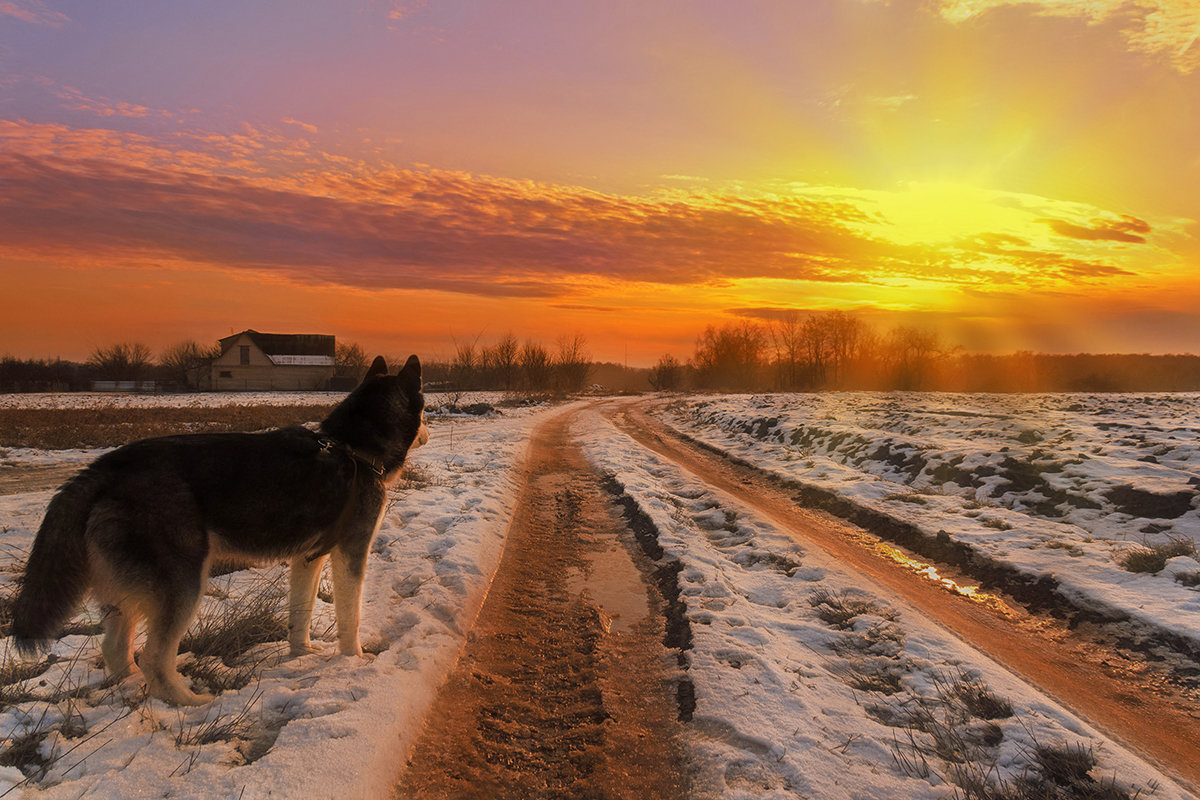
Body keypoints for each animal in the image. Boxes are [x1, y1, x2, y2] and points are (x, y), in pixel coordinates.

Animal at [12, 352, 427, 705]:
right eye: (424, 412)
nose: (428, 433)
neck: (352, 447)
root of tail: (103, 468)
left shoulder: (308, 559)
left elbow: (300, 615)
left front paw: (302, 653)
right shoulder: (351, 552)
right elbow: (349, 618)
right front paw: (354, 659)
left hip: (129, 593)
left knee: (116, 648)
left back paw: (131, 685)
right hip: (183, 585)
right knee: (154, 659)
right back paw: (191, 704)